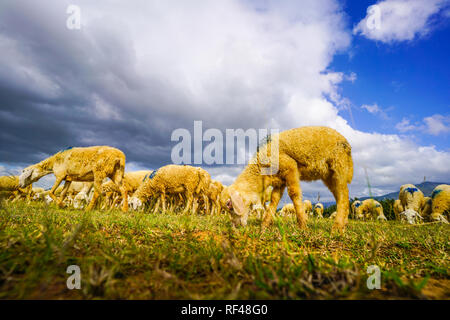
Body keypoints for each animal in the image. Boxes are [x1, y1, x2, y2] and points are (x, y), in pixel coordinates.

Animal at [220, 126, 354, 234]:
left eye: (229, 205)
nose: (236, 226)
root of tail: (346, 143)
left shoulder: (290, 167)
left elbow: (294, 194)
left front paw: (302, 225)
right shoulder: (280, 180)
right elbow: (274, 200)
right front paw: (264, 226)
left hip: (338, 165)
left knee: (343, 194)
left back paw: (337, 227)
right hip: (329, 175)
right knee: (339, 195)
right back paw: (344, 224)